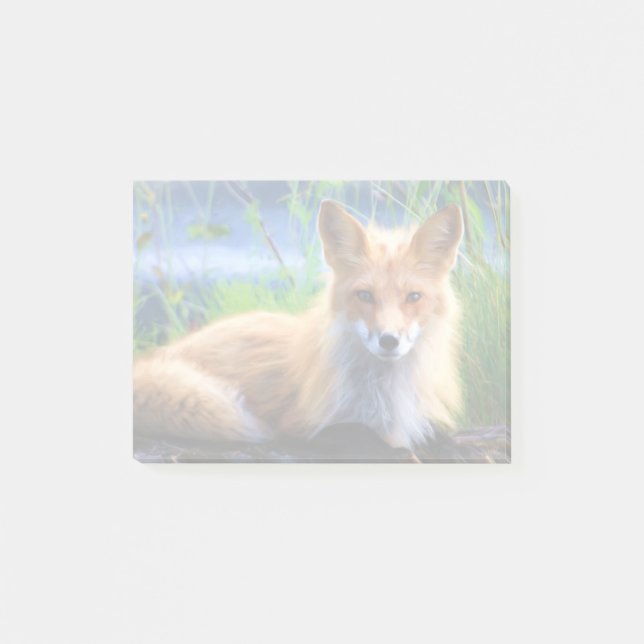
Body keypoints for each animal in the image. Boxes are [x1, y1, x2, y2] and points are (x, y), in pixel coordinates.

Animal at [133, 199, 464, 450]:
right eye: (365, 295)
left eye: (413, 297)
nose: (388, 340)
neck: (382, 397)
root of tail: (155, 357)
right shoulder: (311, 425)